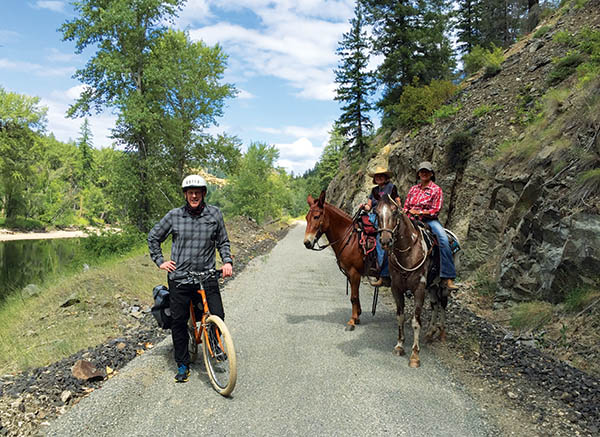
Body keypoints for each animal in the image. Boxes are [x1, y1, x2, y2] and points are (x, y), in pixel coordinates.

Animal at [304, 191, 366, 330]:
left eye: (316, 216)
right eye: (306, 218)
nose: (307, 242)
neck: (350, 239)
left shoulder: (354, 273)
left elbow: (353, 297)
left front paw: (352, 321)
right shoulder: (351, 274)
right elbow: (356, 295)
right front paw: (357, 316)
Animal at [376, 192, 450, 366]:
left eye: (395, 212)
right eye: (376, 212)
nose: (385, 240)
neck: (408, 253)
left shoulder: (419, 289)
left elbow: (416, 322)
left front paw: (415, 355)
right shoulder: (396, 288)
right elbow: (401, 317)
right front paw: (399, 346)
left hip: (442, 286)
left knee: (443, 304)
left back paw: (441, 333)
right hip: (432, 286)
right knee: (435, 305)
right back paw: (430, 332)